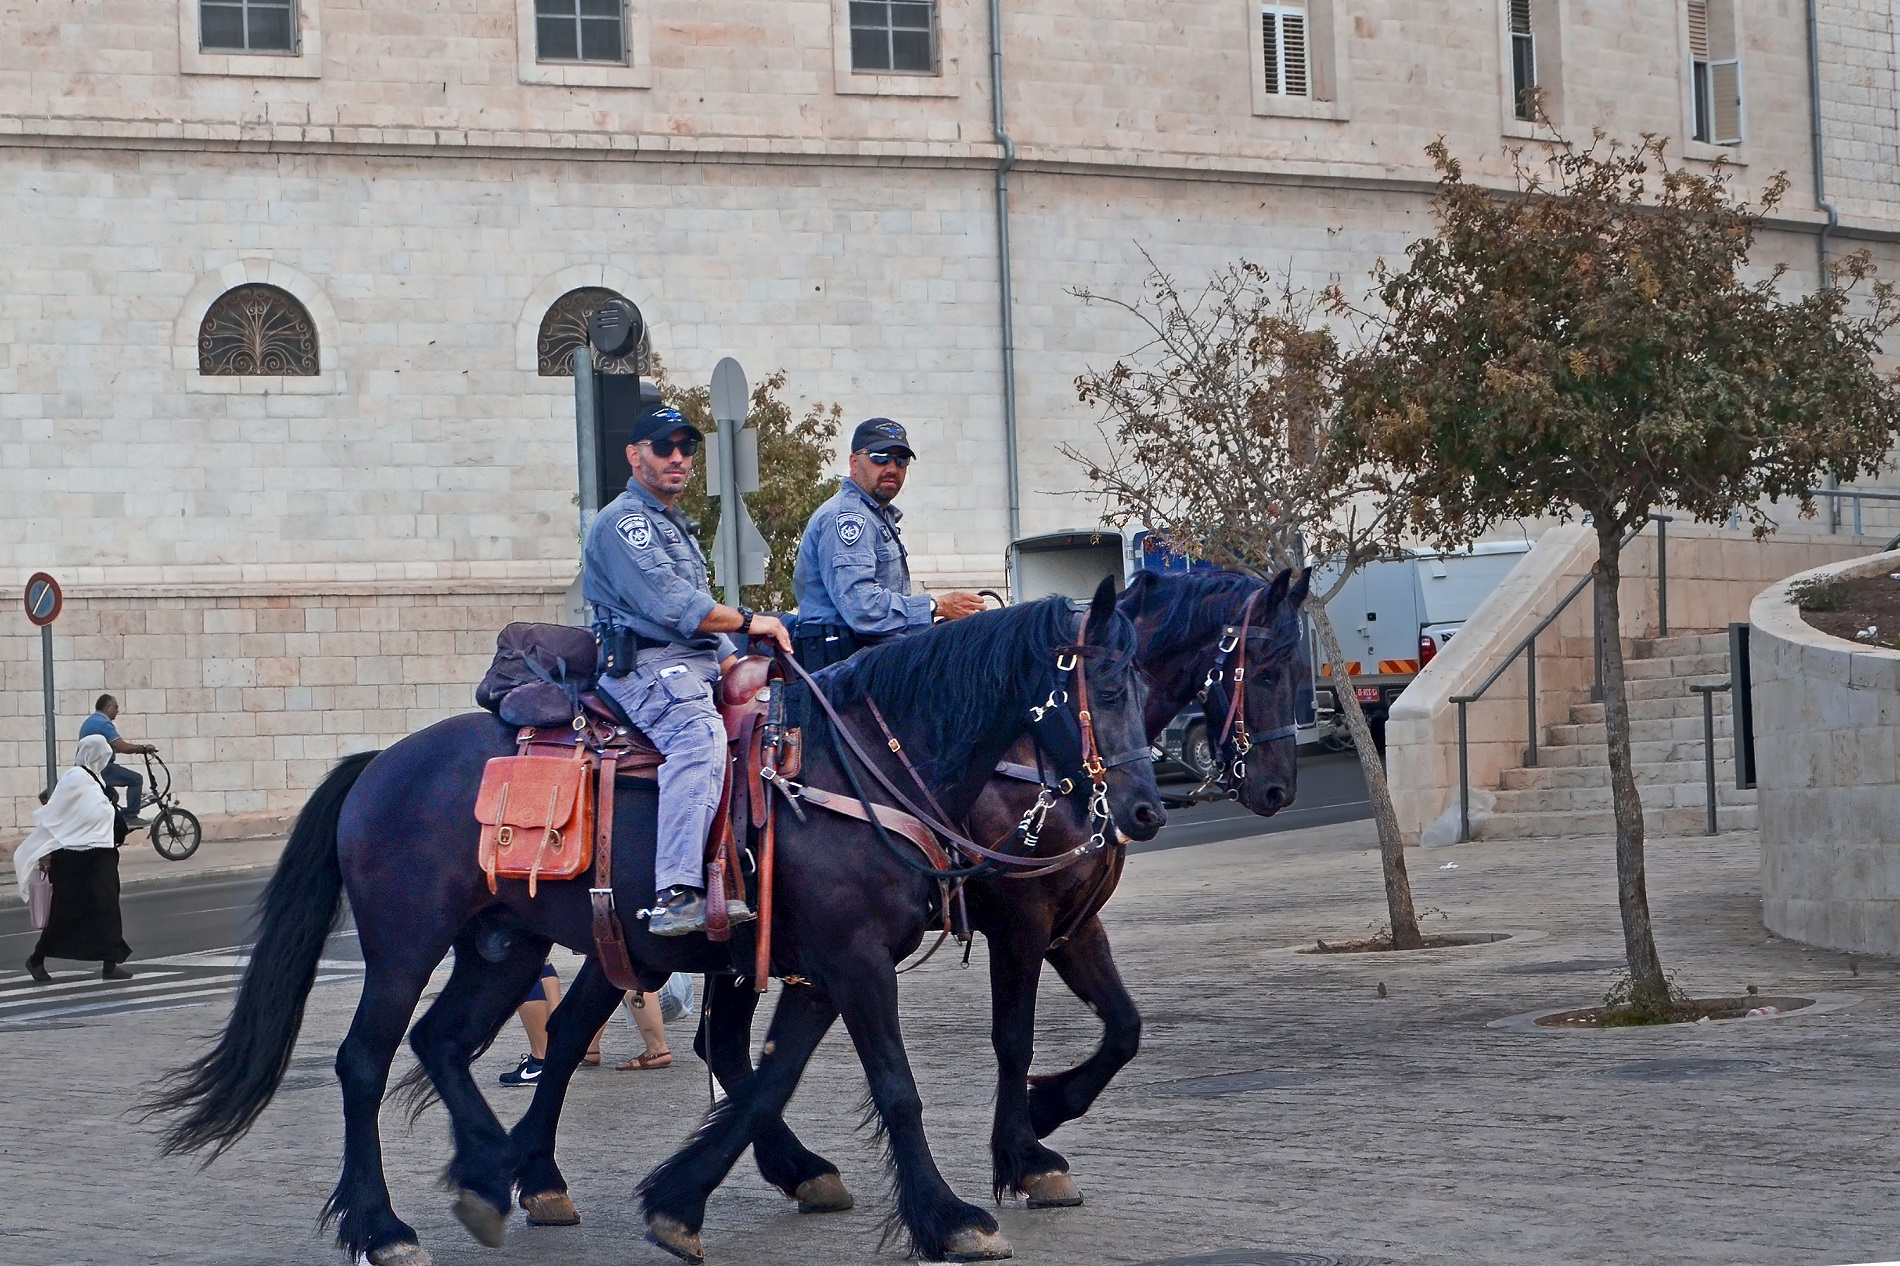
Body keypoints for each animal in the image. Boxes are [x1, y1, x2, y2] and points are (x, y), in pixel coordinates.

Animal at [148, 581, 1162, 1262]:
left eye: (1145, 683)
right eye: (1106, 690)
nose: (1147, 809)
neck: (853, 766)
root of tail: (380, 763)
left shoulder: (823, 967)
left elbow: (765, 1081)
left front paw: (682, 1199)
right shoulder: (860, 959)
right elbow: (896, 1087)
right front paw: (951, 1216)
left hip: (504, 946)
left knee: (447, 1041)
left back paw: (490, 1171)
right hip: (406, 946)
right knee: (365, 1061)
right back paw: (384, 1222)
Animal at [482, 566, 1307, 1246]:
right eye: (1265, 665)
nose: (1276, 788)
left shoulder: (1074, 923)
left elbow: (1124, 1028)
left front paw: (1041, 1121)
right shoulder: (1020, 923)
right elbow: (1013, 1040)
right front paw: (1023, 1149)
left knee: (643, 1038)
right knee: (625, 1037)